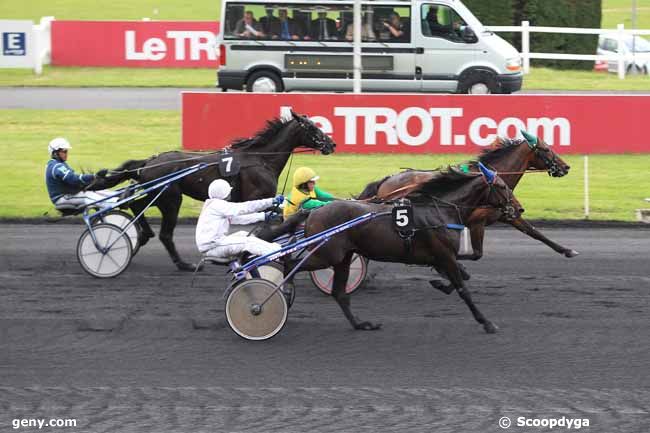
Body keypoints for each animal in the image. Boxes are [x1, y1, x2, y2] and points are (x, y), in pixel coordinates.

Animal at [94, 109, 336, 268]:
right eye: (313, 127)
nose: (331, 144)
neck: (261, 159)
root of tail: (148, 162)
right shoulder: (255, 197)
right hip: (170, 199)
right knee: (164, 232)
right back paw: (182, 263)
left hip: (157, 194)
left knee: (136, 205)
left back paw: (144, 234)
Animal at [286, 166, 520, 334]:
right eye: (501, 187)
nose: (519, 208)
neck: (439, 212)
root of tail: (313, 212)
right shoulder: (445, 256)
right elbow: (463, 288)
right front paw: (486, 322)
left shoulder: (442, 258)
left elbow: (461, 277)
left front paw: (440, 284)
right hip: (326, 255)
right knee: (289, 264)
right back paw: (285, 292)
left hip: (343, 258)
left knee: (339, 293)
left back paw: (362, 324)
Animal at [356, 131, 576, 264]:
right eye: (546, 149)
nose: (566, 167)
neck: (488, 178)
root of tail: (387, 180)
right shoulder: (477, 221)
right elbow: (476, 254)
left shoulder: (508, 213)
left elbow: (535, 233)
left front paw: (567, 250)